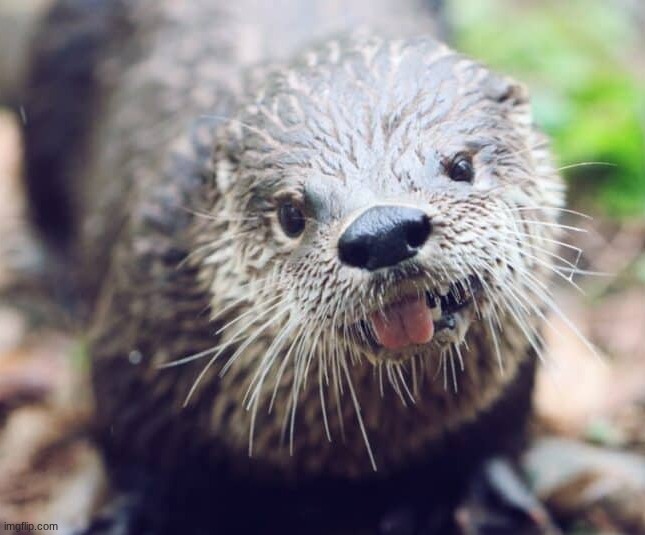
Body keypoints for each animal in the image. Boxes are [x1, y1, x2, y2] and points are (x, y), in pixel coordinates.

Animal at [22, 0, 565, 533]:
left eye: (461, 166)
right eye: (290, 214)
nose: (384, 231)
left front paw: (486, 491)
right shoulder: (137, 339)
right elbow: (136, 461)